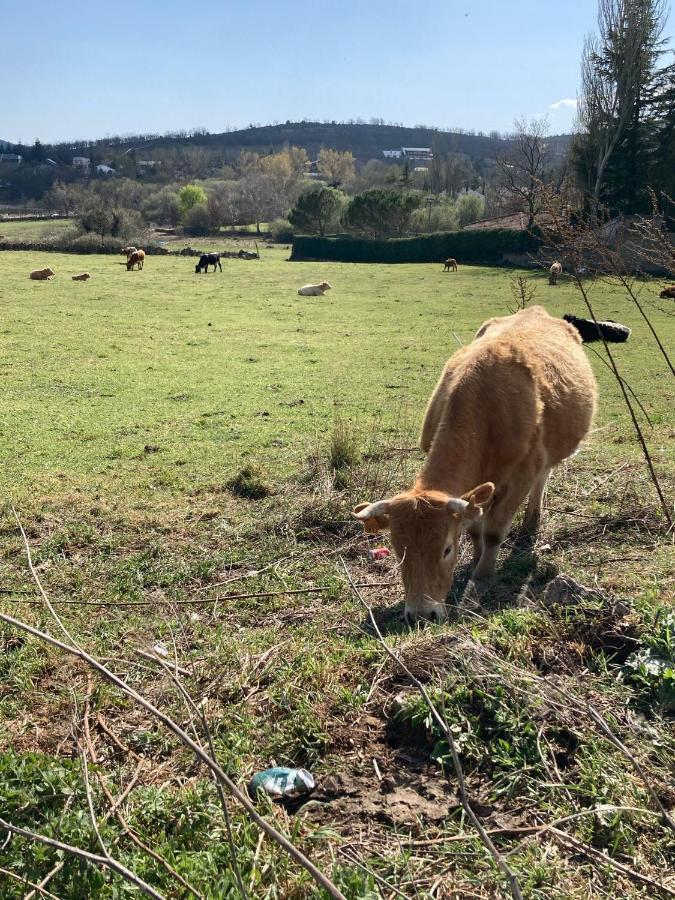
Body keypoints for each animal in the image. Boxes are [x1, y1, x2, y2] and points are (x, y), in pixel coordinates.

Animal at [354, 306, 596, 624]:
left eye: (446, 549)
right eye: (397, 550)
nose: (421, 615)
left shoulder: (521, 474)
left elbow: (494, 531)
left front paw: (482, 576)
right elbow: (474, 526)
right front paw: (476, 557)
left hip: (548, 456)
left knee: (543, 478)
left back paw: (532, 522)